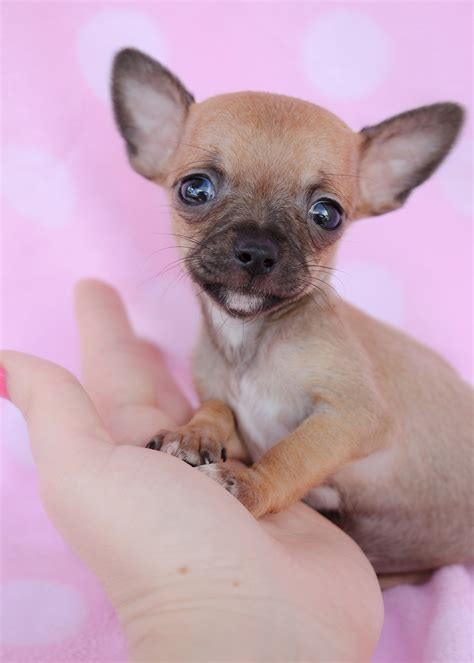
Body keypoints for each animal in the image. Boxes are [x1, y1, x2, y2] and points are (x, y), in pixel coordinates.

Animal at [112, 49, 474, 580]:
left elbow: (292, 456)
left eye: (328, 215)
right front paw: (192, 433)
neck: (249, 338)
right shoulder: (240, 419)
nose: (257, 250)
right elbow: (218, 409)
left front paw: (248, 487)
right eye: (194, 190)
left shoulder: (349, 417)